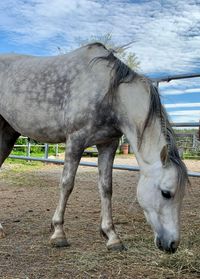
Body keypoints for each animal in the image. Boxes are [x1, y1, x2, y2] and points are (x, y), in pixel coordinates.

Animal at [0, 43, 188, 254]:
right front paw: (58, 233)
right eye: (166, 193)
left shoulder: (108, 144)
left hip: (8, 134)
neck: (111, 95)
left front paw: (112, 236)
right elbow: (67, 184)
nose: (172, 245)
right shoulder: (75, 140)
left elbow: (106, 187)